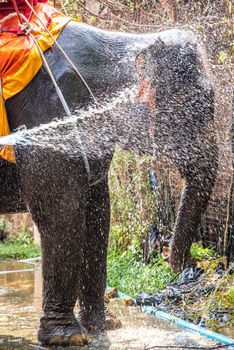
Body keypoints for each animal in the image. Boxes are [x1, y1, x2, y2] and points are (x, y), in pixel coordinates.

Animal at [0, 21, 218, 348]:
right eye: (200, 108)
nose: (191, 267)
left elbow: (98, 211)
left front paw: (106, 326)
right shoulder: (49, 116)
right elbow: (62, 212)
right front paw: (68, 337)